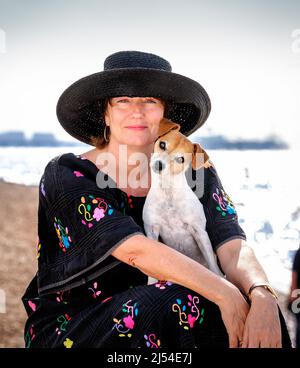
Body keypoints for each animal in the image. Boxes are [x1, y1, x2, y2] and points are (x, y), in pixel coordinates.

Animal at [143, 118, 223, 282]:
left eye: (180, 159)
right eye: (162, 144)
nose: (159, 165)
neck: (168, 192)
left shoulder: (199, 232)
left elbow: (213, 268)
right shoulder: (152, 230)